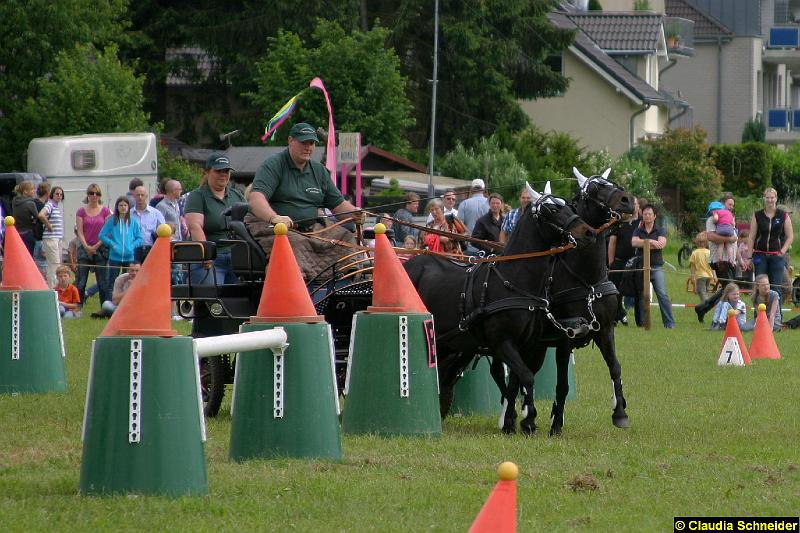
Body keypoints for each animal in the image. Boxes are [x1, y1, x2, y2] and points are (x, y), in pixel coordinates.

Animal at [406, 188, 592, 420]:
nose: (588, 232)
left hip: (450, 342)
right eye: (552, 210)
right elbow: (526, 377)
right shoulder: (502, 342)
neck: (513, 281)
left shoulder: (527, 344)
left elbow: (517, 381)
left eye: (569, 206)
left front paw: (512, 419)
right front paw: (526, 418)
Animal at [504, 169, 636, 436]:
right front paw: (555, 424)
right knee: (517, 375)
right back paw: (512, 419)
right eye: (593, 189)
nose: (628, 201)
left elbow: (615, 367)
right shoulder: (565, 340)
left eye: (610, 182)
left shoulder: (606, 330)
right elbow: (562, 384)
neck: (587, 280)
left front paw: (620, 413)